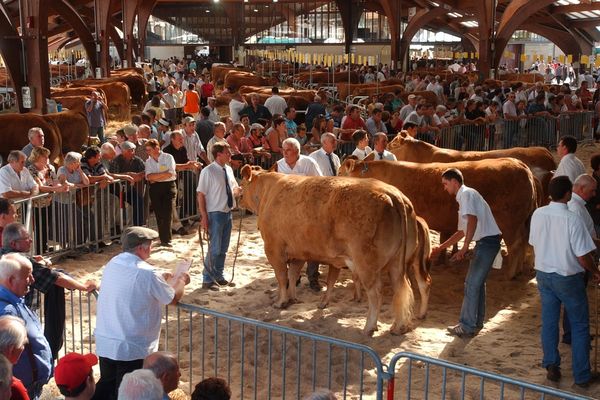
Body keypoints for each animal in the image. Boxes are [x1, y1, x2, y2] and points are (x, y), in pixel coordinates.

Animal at [240, 165, 422, 334]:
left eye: (241, 184)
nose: (237, 197)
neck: (268, 192)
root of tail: (394, 195)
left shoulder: (273, 248)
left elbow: (282, 276)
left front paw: (281, 302)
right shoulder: (298, 251)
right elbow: (292, 274)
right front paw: (293, 298)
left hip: (366, 263)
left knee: (376, 293)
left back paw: (369, 327)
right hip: (397, 262)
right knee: (401, 289)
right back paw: (398, 327)